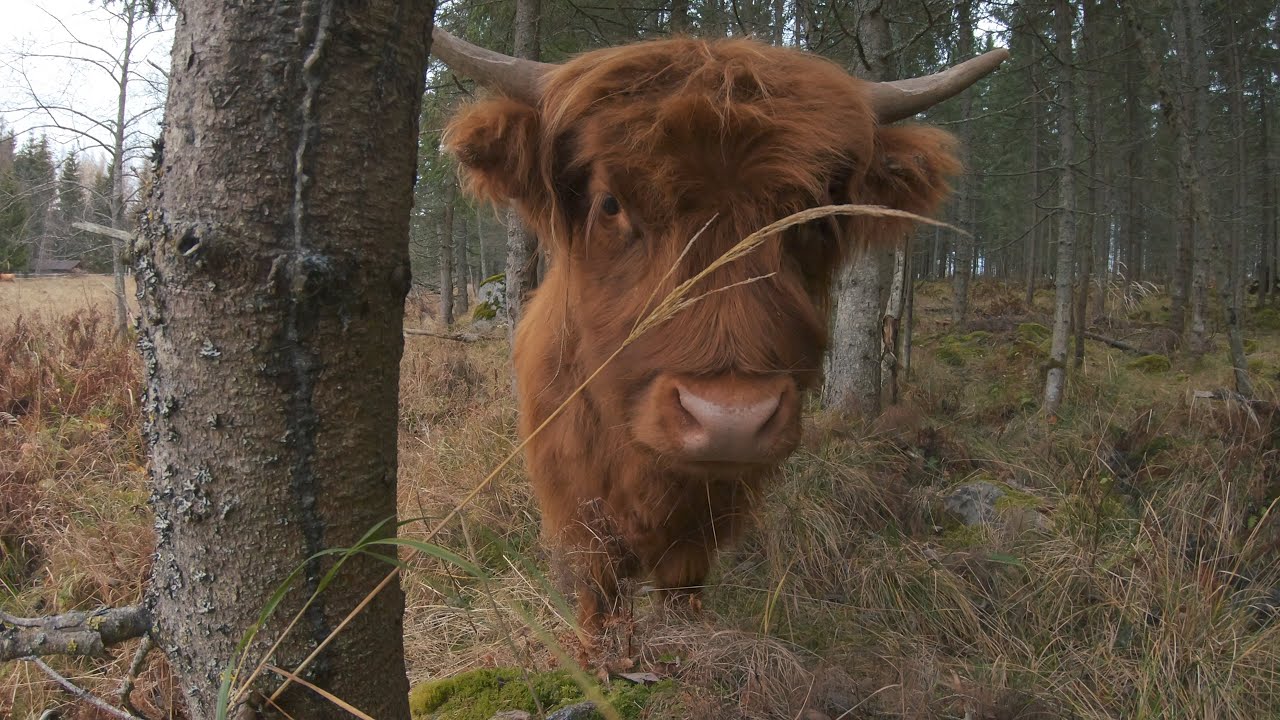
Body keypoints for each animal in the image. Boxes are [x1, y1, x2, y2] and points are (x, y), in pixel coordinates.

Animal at [431, 29, 1007, 646]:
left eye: (811, 217)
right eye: (611, 203)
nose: (730, 419)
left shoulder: (708, 515)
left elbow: (684, 585)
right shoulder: (577, 502)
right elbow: (601, 591)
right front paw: (599, 652)